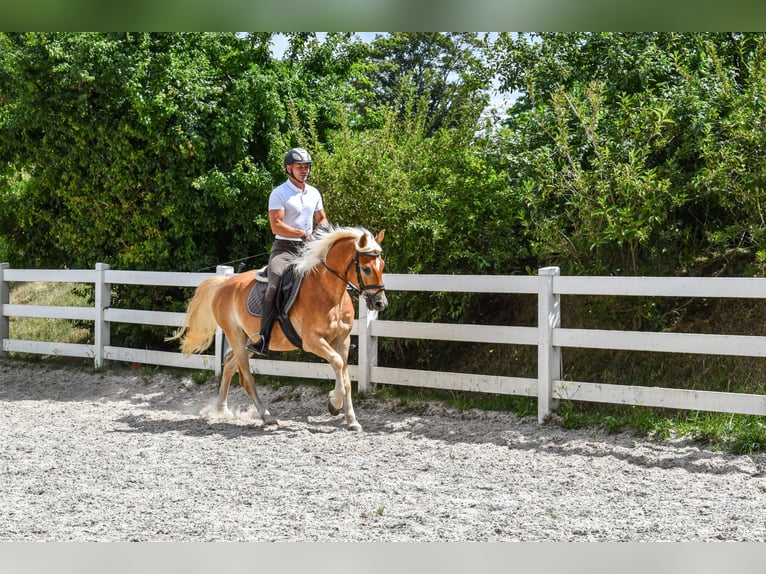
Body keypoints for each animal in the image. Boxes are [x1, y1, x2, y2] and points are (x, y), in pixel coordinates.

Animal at [168, 226, 387, 431]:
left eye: (382, 266)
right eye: (366, 269)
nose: (380, 303)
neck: (328, 293)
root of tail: (225, 282)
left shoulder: (342, 341)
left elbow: (346, 377)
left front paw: (351, 420)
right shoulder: (312, 341)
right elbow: (337, 363)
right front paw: (334, 404)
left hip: (250, 341)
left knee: (230, 366)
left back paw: (221, 409)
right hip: (236, 337)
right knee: (246, 379)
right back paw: (266, 416)